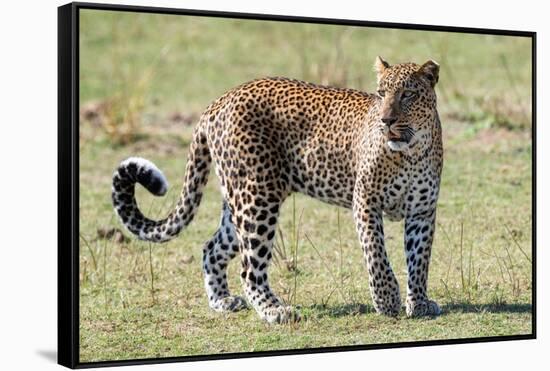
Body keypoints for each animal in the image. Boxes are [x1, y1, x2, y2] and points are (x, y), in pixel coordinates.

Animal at [111, 56, 444, 324]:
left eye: (408, 94)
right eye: (381, 93)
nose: (386, 121)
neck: (411, 152)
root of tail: (217, 102)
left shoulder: (422, 211)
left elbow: (419, 259)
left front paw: (419, 303)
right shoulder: (365, 201)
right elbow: (376, 253)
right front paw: (387, 301)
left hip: (239, 201)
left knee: (212, 248)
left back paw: (222, 301)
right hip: (258, 199)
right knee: (249, 268)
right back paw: (275, 311)